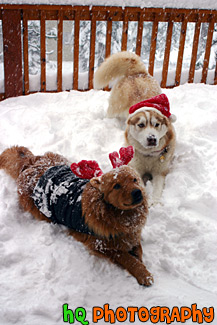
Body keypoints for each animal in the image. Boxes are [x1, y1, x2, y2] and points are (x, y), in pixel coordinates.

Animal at [0, 146, 153, 284]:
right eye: (116, 186)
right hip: (40, 211)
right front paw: (143, 273)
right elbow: (128, 258)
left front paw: (141, 262)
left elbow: (138, 249)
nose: (138, 192)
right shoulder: (100, 244)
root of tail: (32, 163)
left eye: (134, 180)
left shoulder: (132, 234)